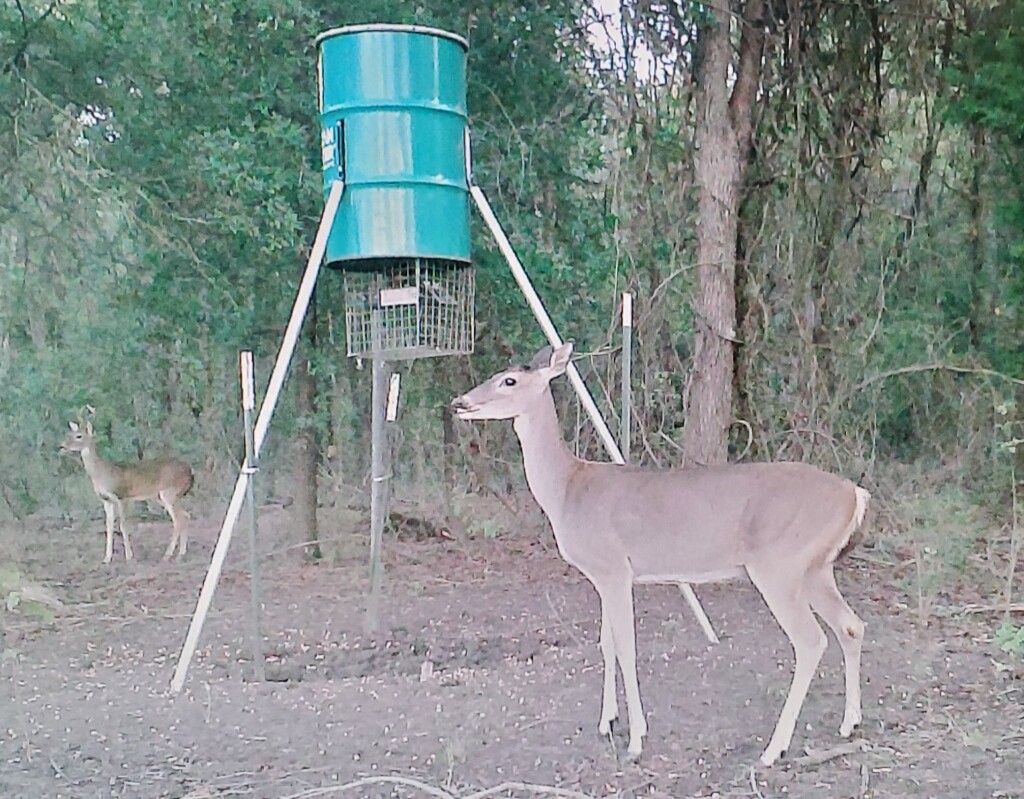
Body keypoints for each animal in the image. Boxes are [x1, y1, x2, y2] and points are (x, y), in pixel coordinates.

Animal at [62, 422, 195, 565]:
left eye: (79, 436)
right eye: (68, 434)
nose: (63, 446)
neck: (102, 474)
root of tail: (190, 471)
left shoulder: (122, 496)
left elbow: (123, 525)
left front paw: (129, 556)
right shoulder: (106, 500)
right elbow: (109, 526)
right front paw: (107, 558)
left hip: (169, 493)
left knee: (178, 520)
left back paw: (167, 555)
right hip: (167, 496)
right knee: (186, 516)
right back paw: (181, 554)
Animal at [452, 344, 868, 766]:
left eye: (508, 380)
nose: (460, 403)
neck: (567, 491)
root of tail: (855, 493)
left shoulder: (614, 567)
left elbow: (627, 646)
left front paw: (636, 740)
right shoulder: (602, 576)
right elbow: (606, 644)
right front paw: (607, 722)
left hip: (779, 564)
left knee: (811, 640)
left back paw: (773, 749)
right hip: (815, 567)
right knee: (851, 625)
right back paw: (849, 723)